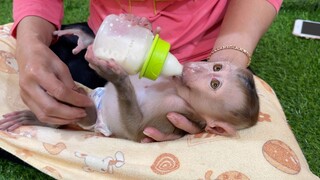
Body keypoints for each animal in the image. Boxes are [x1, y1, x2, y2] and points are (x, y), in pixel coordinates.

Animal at [0, 27, 260, 142]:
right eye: (217, 68)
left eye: (214, 84)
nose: (194, 68)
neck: (176, 87)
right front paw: (87, 39)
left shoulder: (175, 111)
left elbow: (136, 129)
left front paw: (116, 76)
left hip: (96, 120)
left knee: (83, 112)